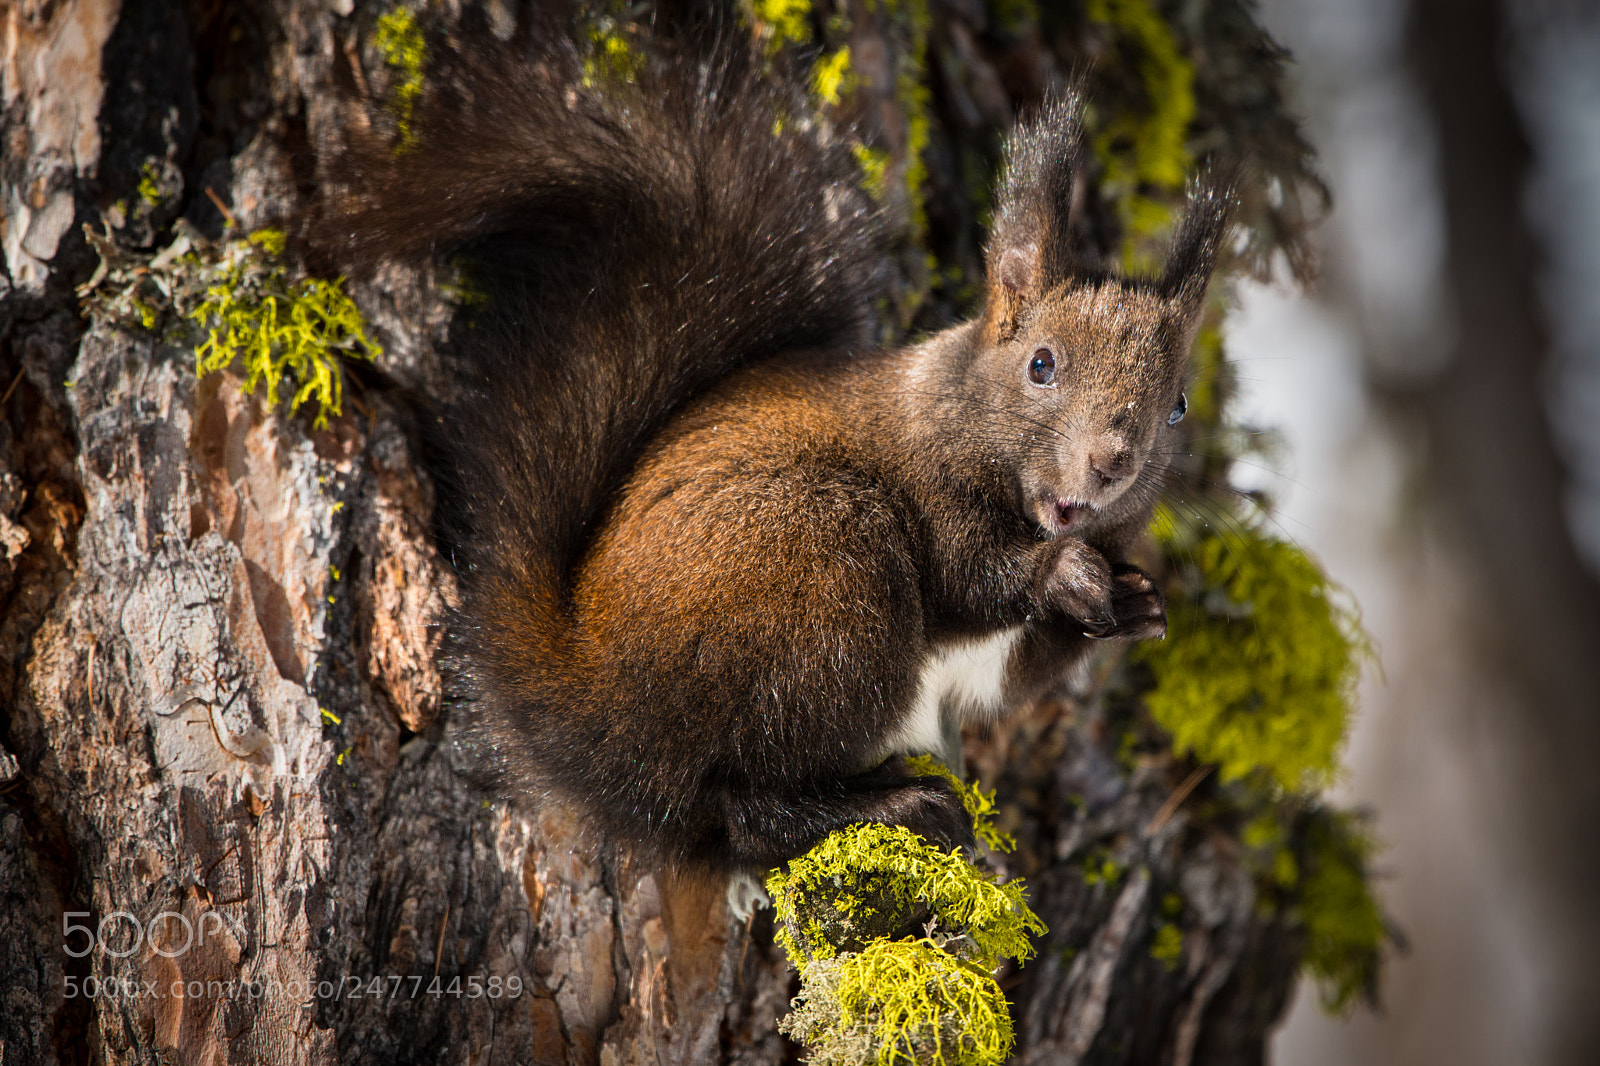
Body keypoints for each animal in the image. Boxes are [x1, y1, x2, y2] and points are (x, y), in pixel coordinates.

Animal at [331, 35, 1228, 883]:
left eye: (1178, 404)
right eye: (1042, 364)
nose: (1110, 463)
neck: (954, 414)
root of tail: (591, 705)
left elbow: (1016, 674)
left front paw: (1138, 605)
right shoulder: (930, 493)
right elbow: (971, 575)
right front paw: (1065, 575)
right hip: (823, 577)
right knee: (748, 807)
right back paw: (895, 804)